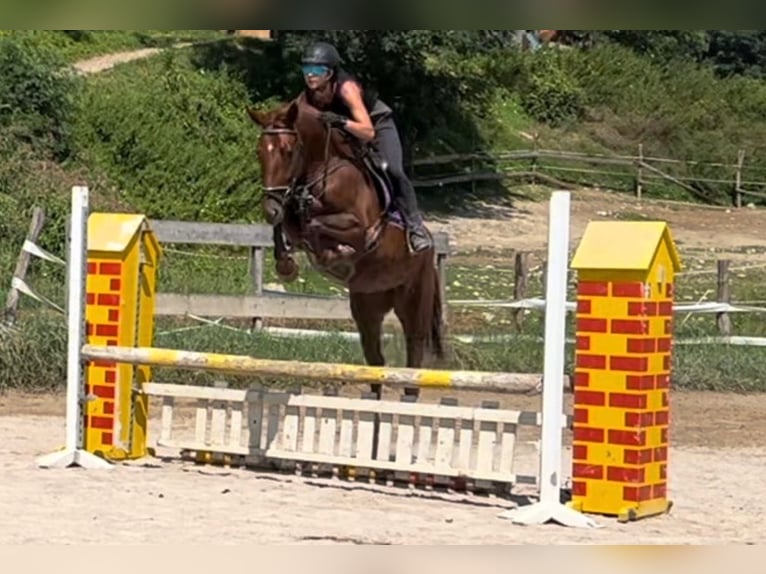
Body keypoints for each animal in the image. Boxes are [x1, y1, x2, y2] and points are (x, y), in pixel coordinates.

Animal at [249, 95, 448, 400]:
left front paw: (336, 256)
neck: (322, 170)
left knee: (414, 355)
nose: (269, 209)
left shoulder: (359, 229)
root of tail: (431, 251)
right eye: (260, 152)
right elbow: (287, 226)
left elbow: (315, 225)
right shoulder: (290, 213)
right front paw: (287, 266)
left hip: (415, 301)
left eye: (287, 150)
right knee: (375, 360)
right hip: (368, 307)